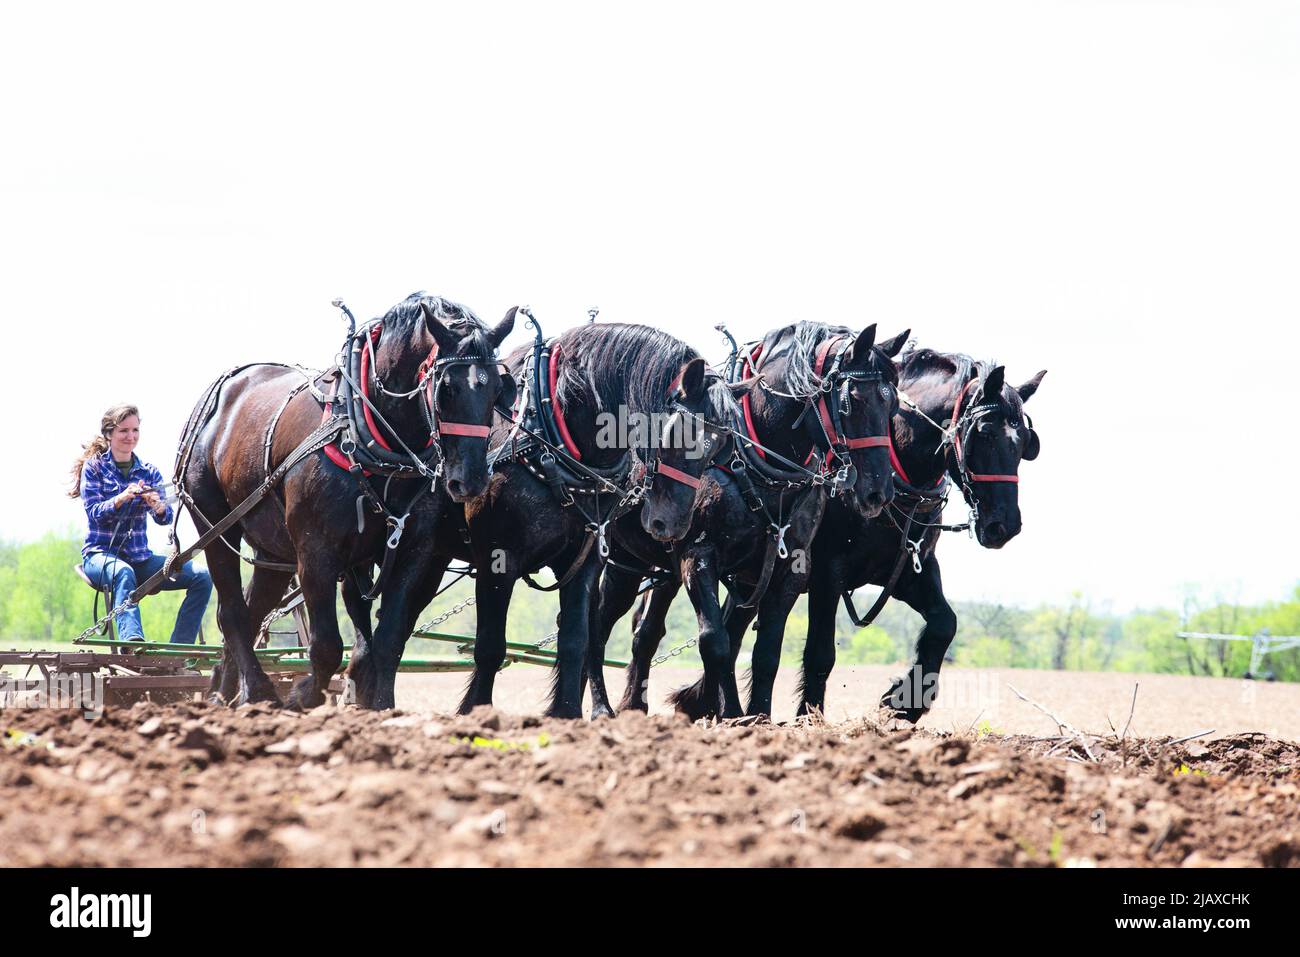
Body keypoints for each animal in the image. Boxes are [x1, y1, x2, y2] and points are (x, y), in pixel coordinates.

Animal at [177, 292, 516, 709]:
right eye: (446, 388)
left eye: (497, 391)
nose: (471, 480)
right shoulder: (316, 553)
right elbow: (327, 646)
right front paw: (303, 696)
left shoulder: (413, 552)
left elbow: (387, 641)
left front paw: (379, 706)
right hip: (212, 521)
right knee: (232, 612)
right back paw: (258, 690)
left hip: (273, 549)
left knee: (251, 610)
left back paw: (223, 694)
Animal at [346, 321, 742, 718]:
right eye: (679, 433)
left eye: (719, 447)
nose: (671, 524)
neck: (553, 446)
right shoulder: (497, 559)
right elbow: (490, 645)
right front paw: (475, 710)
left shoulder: (585, 561)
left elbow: (575, 639)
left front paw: (565, 712)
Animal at [586, 321, 910, 720]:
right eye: (854, 400)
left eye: (892, 403)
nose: (878, 492)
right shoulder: (698, 555)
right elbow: (716, 642)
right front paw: (725, 714)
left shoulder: (789, 566)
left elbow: (765, 651)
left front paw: (757, 715)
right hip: (624, 563)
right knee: (598, 625)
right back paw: (600, 707)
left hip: (663, 568)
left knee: (646, 633)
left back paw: (634, 705)